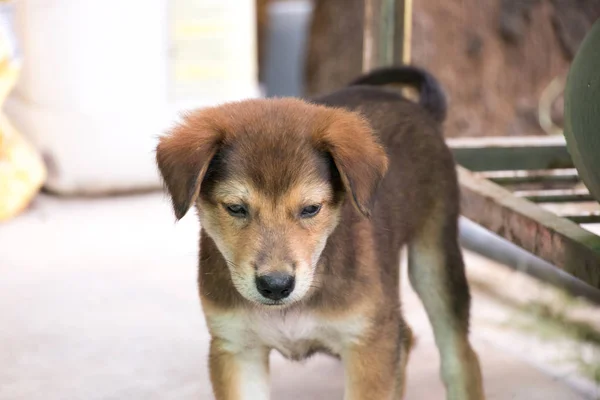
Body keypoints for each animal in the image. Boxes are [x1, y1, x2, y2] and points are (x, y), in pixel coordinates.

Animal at [155, 67, 482, 398]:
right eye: (235, 208)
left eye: (311, 208)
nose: (276, 286)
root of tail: (420, 109)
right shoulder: (236, 347)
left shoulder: (367, 342)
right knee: (406, 336)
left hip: (434, 256)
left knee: (461, 358)